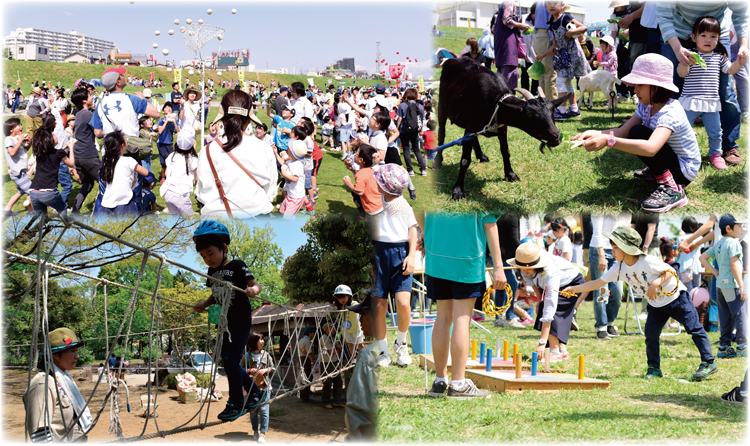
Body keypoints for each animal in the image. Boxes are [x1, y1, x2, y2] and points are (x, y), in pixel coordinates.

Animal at [434, 56, 568, 199]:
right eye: (530, 115)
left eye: (553, 112)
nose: (556, 137)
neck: (496, 102)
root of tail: (453, 59)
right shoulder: (471, 126)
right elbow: (465, 160)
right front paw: (458, 190)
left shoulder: (502, 128)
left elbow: (505, 151)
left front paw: (510, 174)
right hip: (442, 105)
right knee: (442, 133)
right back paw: (438, 161)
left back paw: (481, 156)